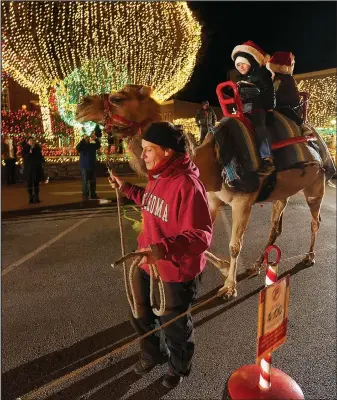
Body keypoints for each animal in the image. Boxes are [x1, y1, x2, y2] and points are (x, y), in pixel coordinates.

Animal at [76, 83, 334, 296]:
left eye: (117, 98)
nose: (81, 105)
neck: (213, 161)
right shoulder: (212, 199)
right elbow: (203, 239)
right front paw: (225, 269)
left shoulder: (243, 201)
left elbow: (234, 245)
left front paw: (229, 286)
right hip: (282, 192)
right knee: (275, 228)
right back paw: (255, 266)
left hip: (316, 185)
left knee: (315, 220)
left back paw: (309, 257)